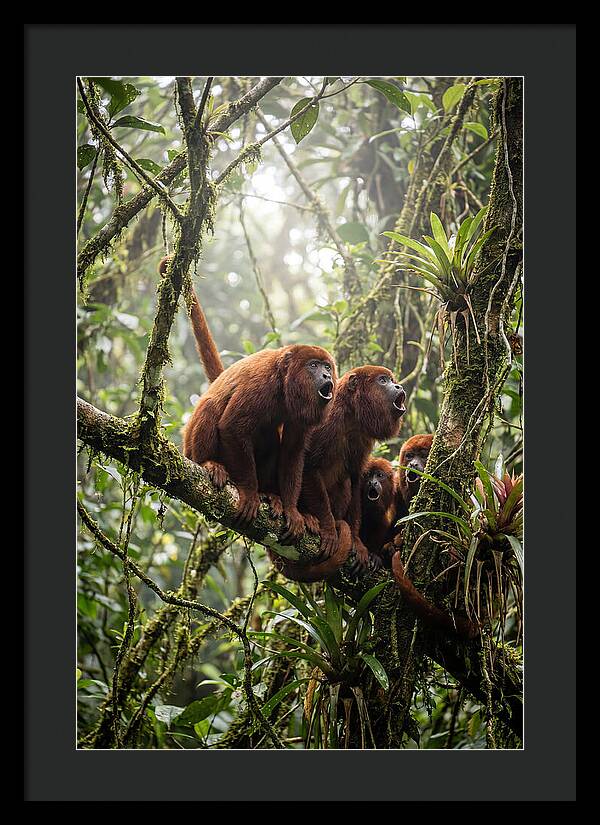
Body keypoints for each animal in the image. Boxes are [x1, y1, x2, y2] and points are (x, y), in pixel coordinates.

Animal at [159, 257, 338, 538]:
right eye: (313, 366)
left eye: (327, 366)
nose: (326, 376)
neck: (284, 383)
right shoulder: (261, 384)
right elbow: (231, 426)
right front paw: (251, 493)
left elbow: (292, 451)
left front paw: (291, 509)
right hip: (190, 448)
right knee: (211, 408)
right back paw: (211, 464)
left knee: (271, 438)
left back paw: (271, 496)